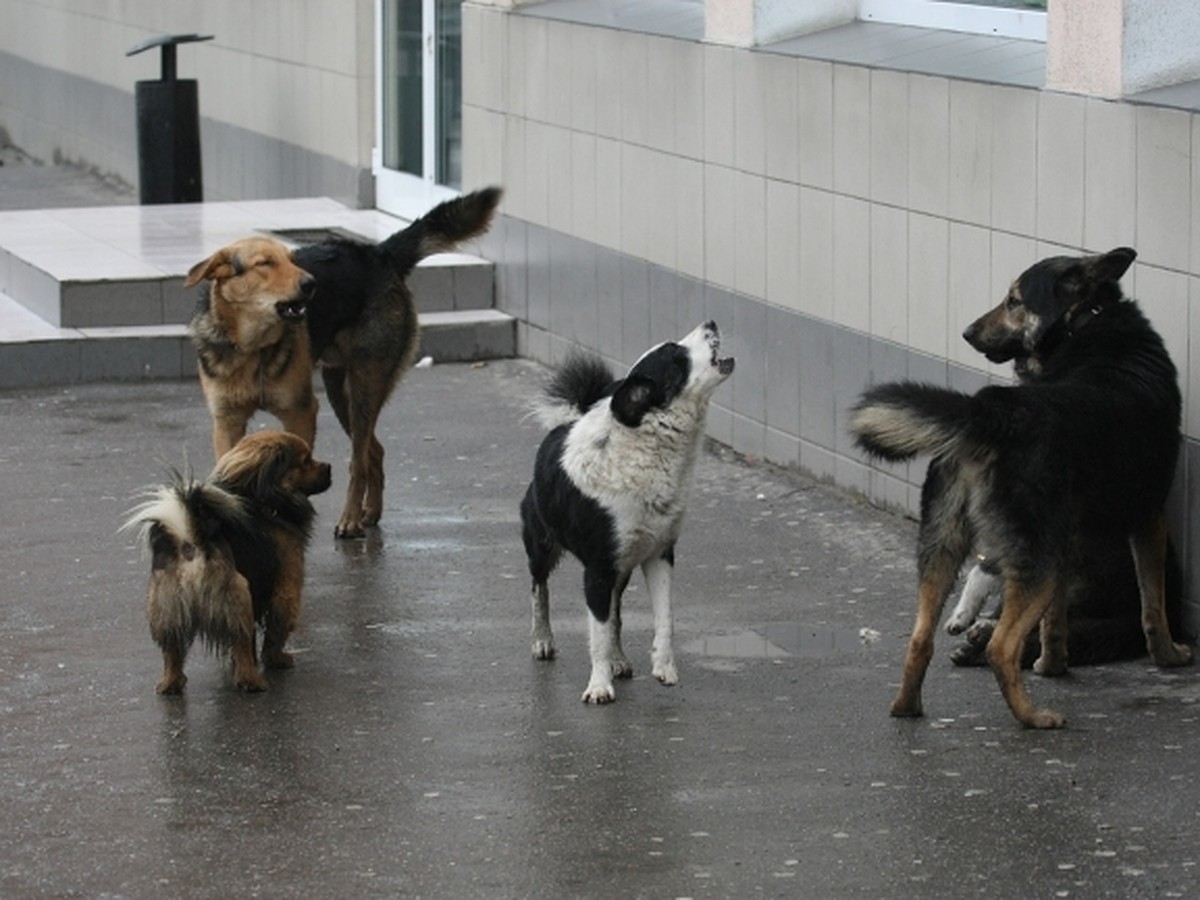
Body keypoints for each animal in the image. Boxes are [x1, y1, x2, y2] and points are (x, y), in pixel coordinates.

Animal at [124, 434, 331, 696]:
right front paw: (276, 659)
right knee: (241, 639)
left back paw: (171, 683)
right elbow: (276, 629)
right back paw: (251, 681)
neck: (262, 501)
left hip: (167, 608)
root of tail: (191, 540)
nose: (329, 467)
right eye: (305, 461)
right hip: (238, 598)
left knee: (172, 651)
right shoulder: (287, 588)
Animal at [186, 183, 501, 535]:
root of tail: (379, 253)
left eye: (292, 260)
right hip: (339, 391)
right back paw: (370, 511)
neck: (253, 348)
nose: (311, 283)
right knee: (374, 452)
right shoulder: (227, 421)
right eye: (265, 263)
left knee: (359, 460)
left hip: (363, 385)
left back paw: (350, 518)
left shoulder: (300, 412)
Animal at [520, 321, 734, 705]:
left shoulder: (659, 555)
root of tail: (564, 424)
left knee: (616, 613)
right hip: (542, 545)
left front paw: (663, 667)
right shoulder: (598, 568)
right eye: (676, 355)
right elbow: (598, 633)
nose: (710, 323)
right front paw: (598, 685)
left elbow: (663, 617)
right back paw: (542, 639)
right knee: (538, 588)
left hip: (622, 568)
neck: (645, 448)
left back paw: (619, 659)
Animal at [854, 250, 1190, 729]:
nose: (967, 332)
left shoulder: (1070, 539)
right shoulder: (1148, 518)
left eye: (1013, 300)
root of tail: (993, 414)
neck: (1087, 320)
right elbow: (1153, 605)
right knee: (1002, 647)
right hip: (1038, 561)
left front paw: (1052, 664)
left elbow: (1054, 624)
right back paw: (1032, 716)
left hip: (944, 545)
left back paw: (907, 706)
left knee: (921, 637)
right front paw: (1168, 656)